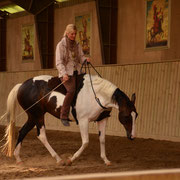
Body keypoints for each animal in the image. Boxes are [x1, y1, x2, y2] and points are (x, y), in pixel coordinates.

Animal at [0, 73, 138, 166]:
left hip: (32, 116)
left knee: (23, 131)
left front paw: (106, 160)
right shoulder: (83, 121)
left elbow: (102, 139)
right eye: (126, 116)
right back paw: (58, 159)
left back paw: (18, 158)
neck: (97, 94)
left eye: (136, 115)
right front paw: (71, 159)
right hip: (38, 115)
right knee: (42, 135)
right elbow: (86, 142)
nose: (132, 136)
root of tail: (21, 85)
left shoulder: (102, 120)